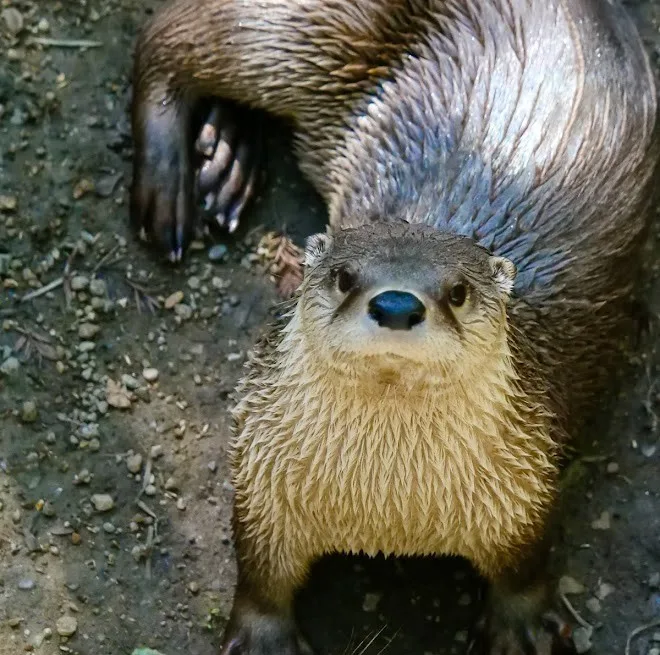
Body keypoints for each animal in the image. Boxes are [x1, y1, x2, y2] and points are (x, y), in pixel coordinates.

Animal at [129, 0, 658, 653]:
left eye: (457, 291)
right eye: (344, 277)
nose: (398, 305)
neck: (387, 511)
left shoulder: (526, 489)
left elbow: (527, 561)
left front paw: (522, 626)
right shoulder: (262, 480)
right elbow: (259, 565)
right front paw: (262, 636)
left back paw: (224, 160)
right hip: (291, 33)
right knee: (166, 39)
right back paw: (174, 181)